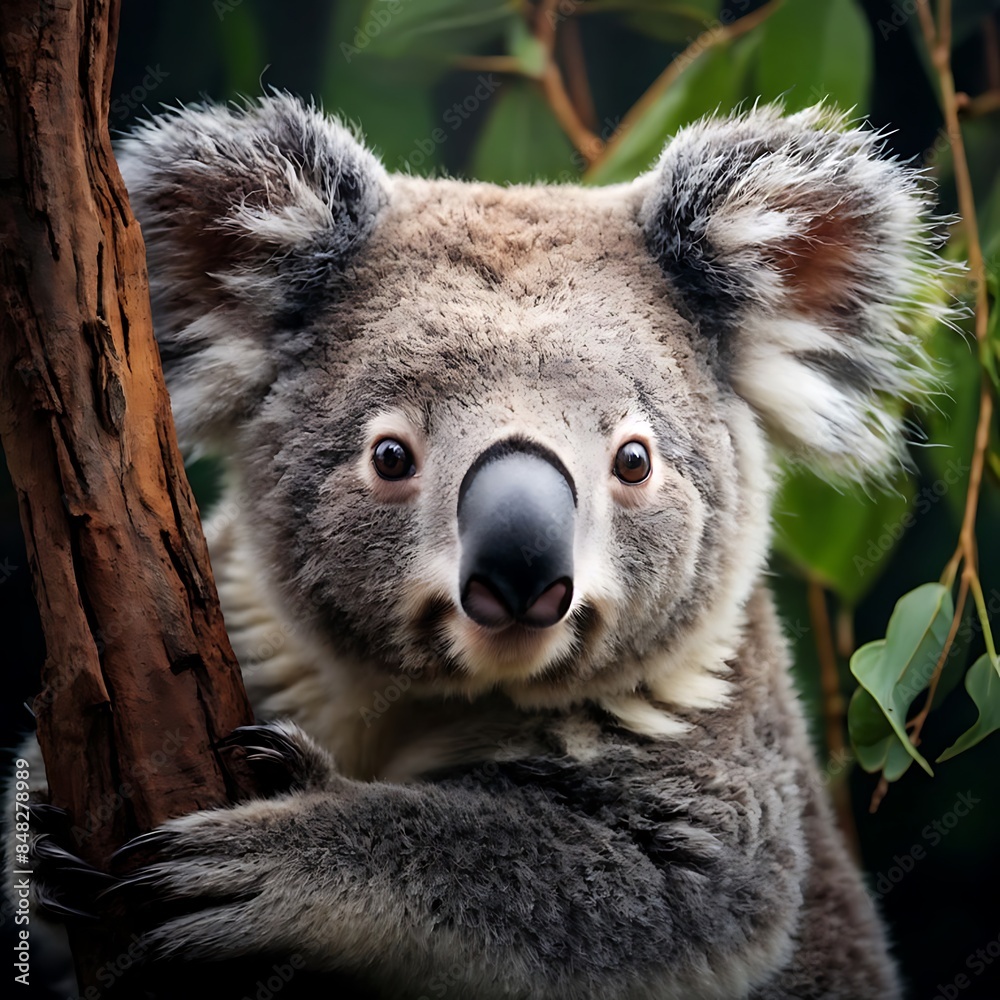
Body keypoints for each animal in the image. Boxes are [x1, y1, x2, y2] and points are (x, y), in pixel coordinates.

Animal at [27, 94, 947, 998]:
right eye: (389, 456)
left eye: (634, 460)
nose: (522, 570)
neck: (433, 695)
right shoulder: (254, 624)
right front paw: (48, 848)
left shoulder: (707, 743)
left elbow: (621, 885)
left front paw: (267, 851)